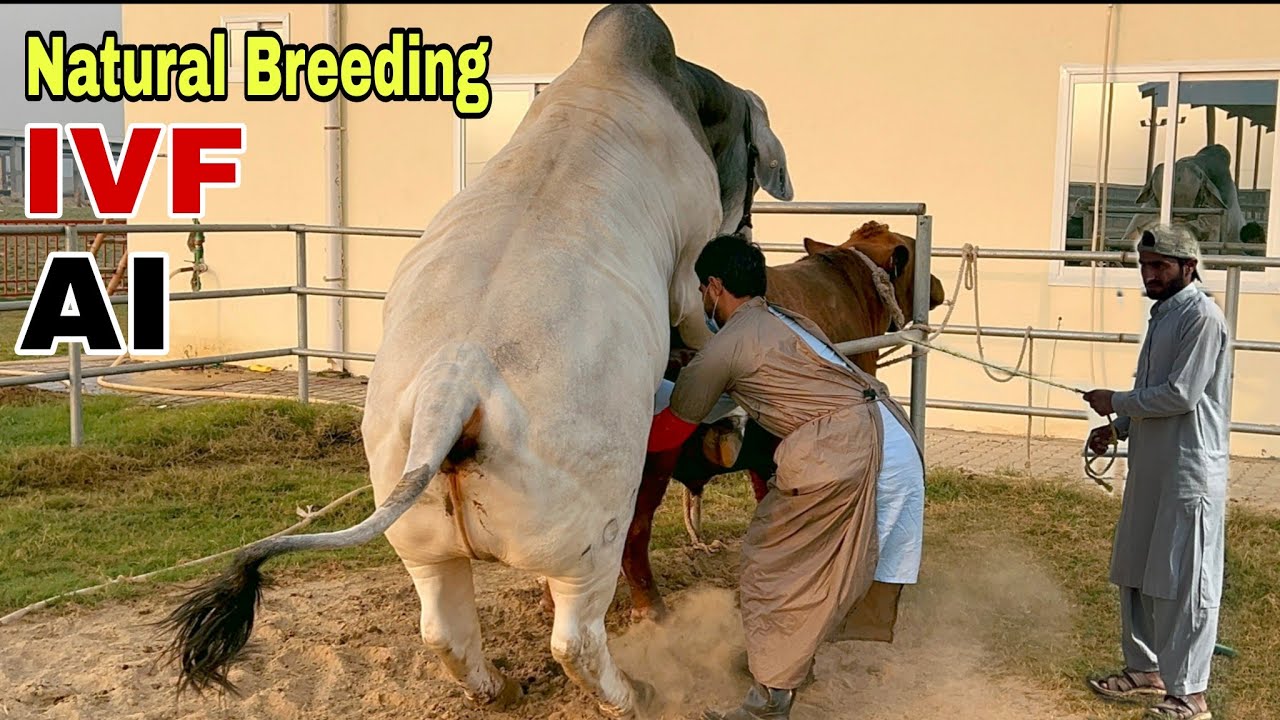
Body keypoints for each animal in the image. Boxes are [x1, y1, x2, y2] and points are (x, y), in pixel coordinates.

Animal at [158, 5, 794, 719]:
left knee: (443, 629)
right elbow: (693, 318)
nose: (748, 234)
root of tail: (457, 384)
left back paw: (502, 686)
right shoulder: (684, 273)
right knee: (574, 637)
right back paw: (632, 694)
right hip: (589, 537)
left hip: (423, 542)